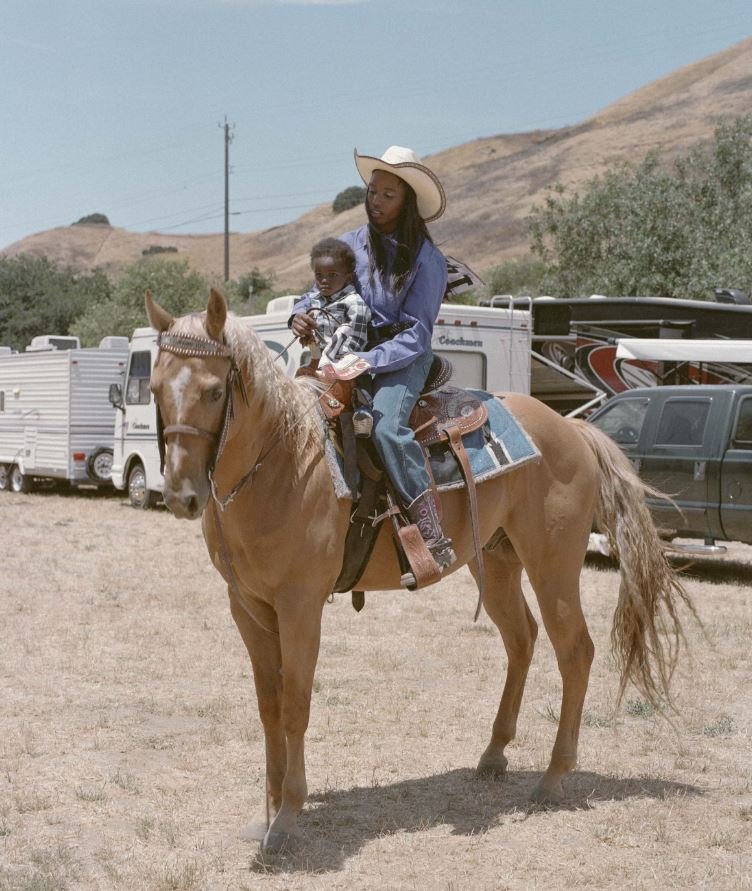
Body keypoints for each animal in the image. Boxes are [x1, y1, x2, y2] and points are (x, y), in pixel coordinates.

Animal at [145, 290, 692, 852]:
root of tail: (573, 429)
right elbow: (268, 706)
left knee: (575, 650)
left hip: (552, 563)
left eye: (214, 391)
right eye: (155, 387)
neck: (285, 462)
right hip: (496, 561)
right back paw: (494, 754)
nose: (182, 495)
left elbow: (295, 703)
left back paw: (553, 777)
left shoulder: (301, 605)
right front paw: (268, 812)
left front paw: (287, 819)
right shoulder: (248, 606)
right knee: (522, 639)